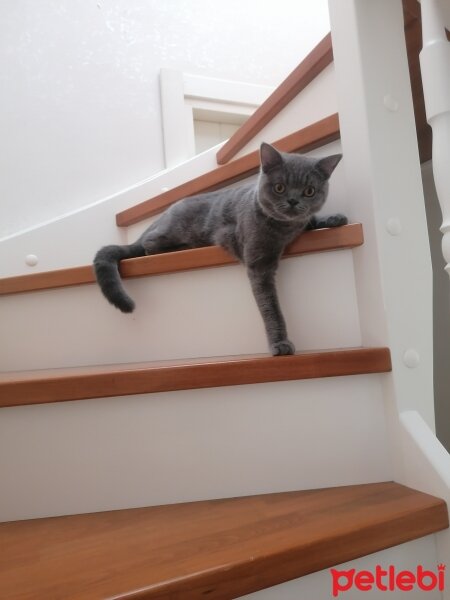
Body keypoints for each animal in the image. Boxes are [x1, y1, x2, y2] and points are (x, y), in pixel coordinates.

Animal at [94, 142, 344, 354]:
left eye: (309, 191)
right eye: (280, 188)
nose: (293, 201)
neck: (286, 229)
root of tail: (161, 215)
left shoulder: (301, 222)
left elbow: (311, 220)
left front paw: (335, 218)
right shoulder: (258, 262)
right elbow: (270, 306)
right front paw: (280, 343)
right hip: (172, 230)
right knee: (148, 245)